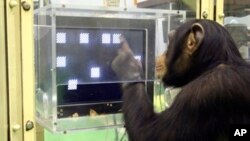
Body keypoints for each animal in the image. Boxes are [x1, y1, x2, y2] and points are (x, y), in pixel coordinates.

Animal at [112, 19, 250, 141]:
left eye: (169, 40)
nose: (161, 54)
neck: (211, 65)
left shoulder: (201, 94)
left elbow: (148, 134)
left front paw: (127, 64)